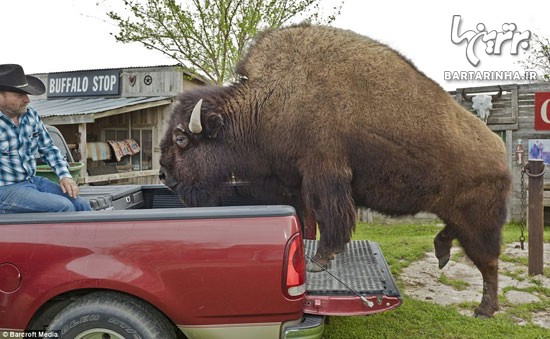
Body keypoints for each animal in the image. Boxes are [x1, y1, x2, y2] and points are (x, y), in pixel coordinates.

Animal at [160, 23, 512, 318]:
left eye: (181, 139)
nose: (164, 175)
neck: (270, 101)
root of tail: (499, 149)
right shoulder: (296, 182)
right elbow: (313, 219)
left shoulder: (324, 174)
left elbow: (331, 216)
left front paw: (320, 261)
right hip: (456, 212)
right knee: (457, 236)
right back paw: (443, 255)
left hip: (480, 222)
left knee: (489, 262)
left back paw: (485, 310)